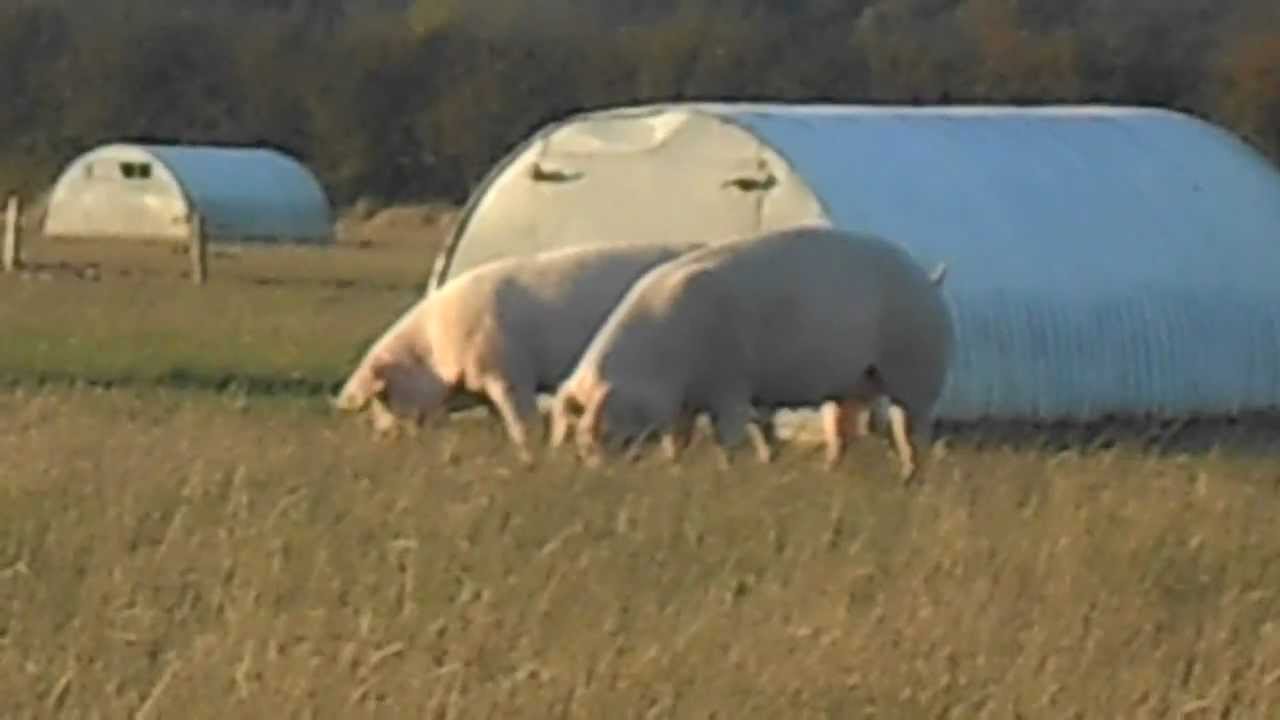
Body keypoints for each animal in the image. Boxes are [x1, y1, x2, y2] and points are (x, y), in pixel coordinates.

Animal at [549, 225, 954, 483]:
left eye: (606, 434)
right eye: (580, 442)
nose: (601, 479)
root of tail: (927, 278)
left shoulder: (730, 386)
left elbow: (726, 437)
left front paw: (725, 473)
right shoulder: (684, 404)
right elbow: (677, 442)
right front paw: (675, 469)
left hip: (918, 369)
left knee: (913, 430)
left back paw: (911, 478)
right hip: (852, 386)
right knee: (843, 433)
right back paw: (830, 475)